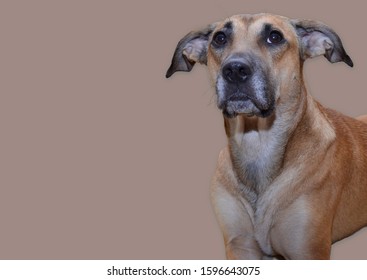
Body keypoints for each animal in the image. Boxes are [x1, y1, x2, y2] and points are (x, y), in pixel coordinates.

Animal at [166, 12, 367, 258]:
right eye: (220, 38)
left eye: (274, 37)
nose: (235, 70)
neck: (257, 144)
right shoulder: (240, 244)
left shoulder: (307, 250)